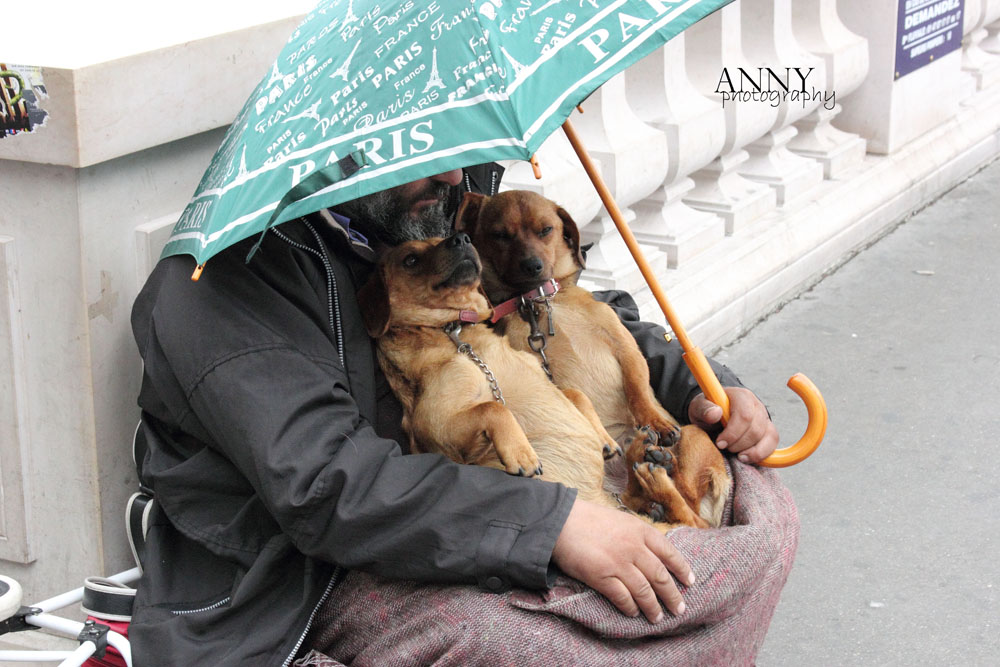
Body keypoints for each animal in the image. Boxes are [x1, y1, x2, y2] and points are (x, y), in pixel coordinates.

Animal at [362, 232, 704, 528]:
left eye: (440, 238)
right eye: (410, 259)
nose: (461, 237)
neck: (454, 332)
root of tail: (604, 500)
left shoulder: (543, 374)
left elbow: (574, 393)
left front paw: (604, 439)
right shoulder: (439, 425)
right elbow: (495, 408)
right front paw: (521, 453)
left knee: (684, 516)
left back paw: (647, 463)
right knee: (684, 519)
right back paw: (652, 477)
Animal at [458, 190, 732, 528]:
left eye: (545, 230)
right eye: (500, 235)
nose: (532, 266)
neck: (541, 302)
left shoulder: (624, 346)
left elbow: (637, 389)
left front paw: (654, 420)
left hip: (693, 434)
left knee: (693, 514)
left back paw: (656, 462)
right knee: (681, 515)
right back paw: (648, 467)